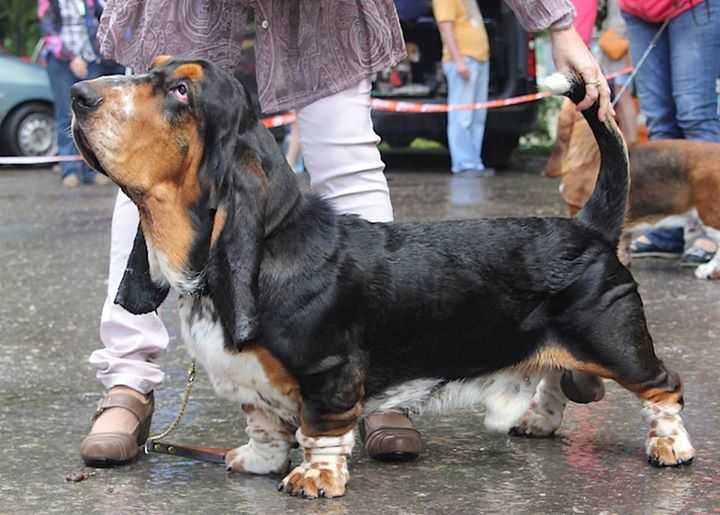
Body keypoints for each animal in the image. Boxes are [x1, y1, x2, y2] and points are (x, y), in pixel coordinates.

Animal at [71, 57, 692, 500]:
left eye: (181, 92)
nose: (80, 95)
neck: (270, 243)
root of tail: (589, 225)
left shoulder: (329, 373)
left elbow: (318, 430)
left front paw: (314, 480)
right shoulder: (255, 382)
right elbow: (264, 424)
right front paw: (258, 462)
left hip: (614, 340)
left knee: (663, 386)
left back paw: (671, 447)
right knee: (554, 377)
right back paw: (537, 422)